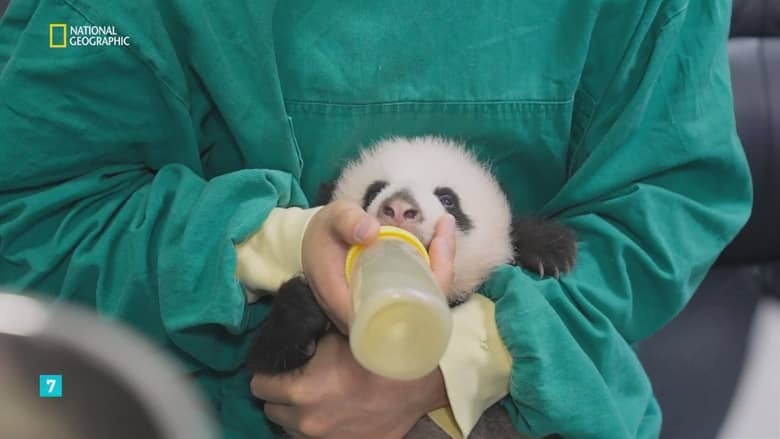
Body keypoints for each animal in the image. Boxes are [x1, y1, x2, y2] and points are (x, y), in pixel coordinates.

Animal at [246, 136, 576, 437]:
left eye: (447, 199)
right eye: (374, 190)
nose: (399, 207)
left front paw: (549, 248)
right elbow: (265, 364)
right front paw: (302, 307)